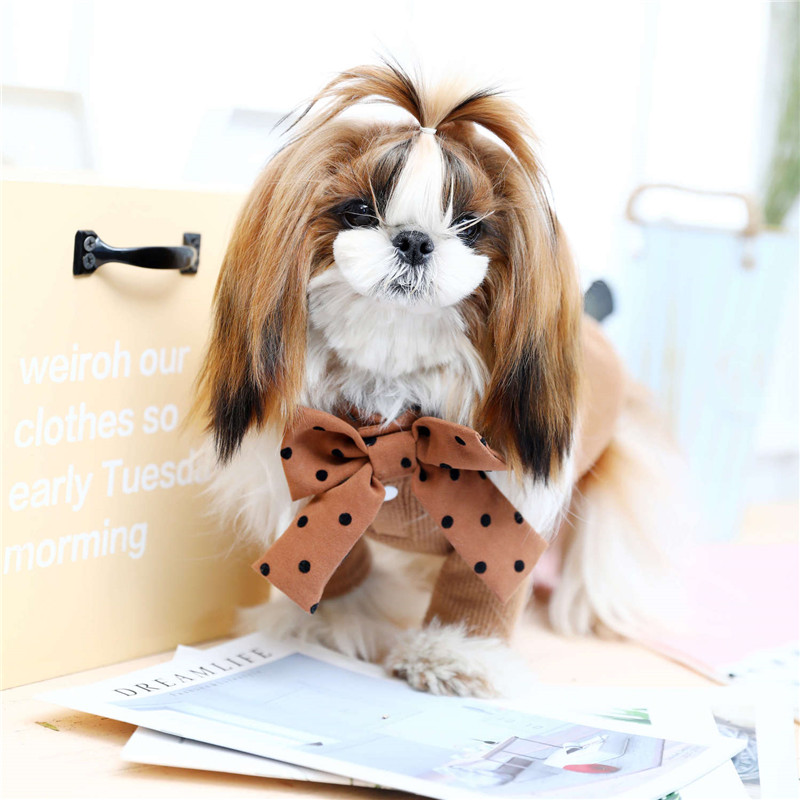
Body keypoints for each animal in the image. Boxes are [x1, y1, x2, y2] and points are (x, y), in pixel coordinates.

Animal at [194, 63, 688, 697]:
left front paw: (456, 656)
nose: (413, 239)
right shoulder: (318, 475)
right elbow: (334, 556)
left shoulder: (506, 506)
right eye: (359, 210)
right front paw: (333, 628)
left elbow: (483, 578)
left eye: (470, 226)